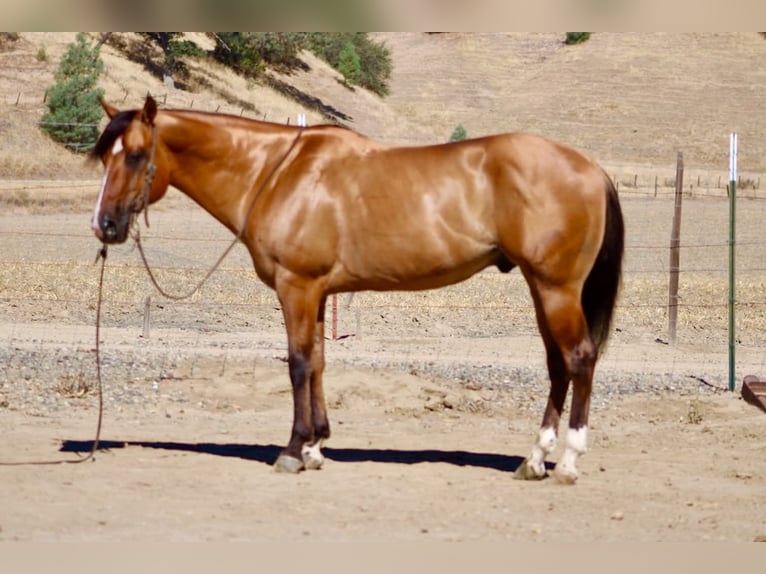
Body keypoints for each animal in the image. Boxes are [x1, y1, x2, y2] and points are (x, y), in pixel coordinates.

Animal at [90, 95, 624, 483]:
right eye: (104, 157)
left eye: (135, 156)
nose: (105, 226)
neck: (276, 173)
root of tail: (591, 167)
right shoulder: (317, 292)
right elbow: (318, 362)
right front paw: (315, 446)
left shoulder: (296, 287)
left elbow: (298, 363)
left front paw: (292, 450)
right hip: (542, 290)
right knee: (557, 365)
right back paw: (533, 460)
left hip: (556, 289)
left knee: (579, 359)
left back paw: (568, 462)